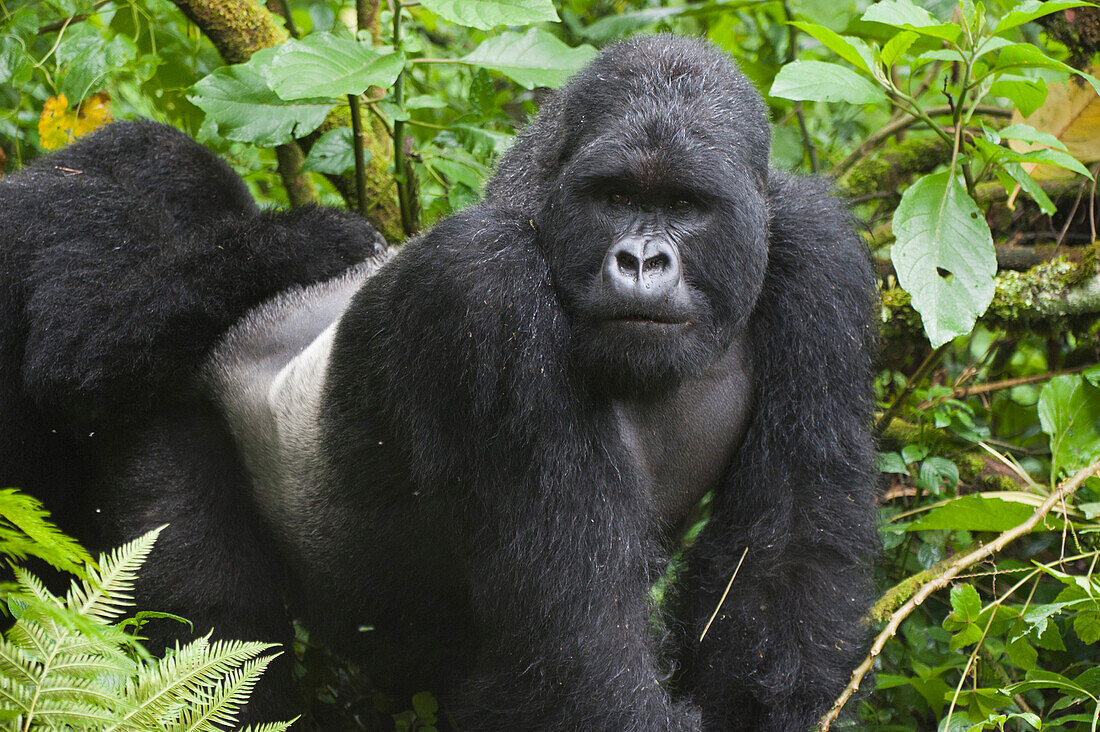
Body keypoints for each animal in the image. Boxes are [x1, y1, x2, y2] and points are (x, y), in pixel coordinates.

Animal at [0, 35, 875, 730]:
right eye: (617, 196)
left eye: (687, 205)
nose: (640, 261)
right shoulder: (480, 289)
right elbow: (577, 650)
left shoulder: (818, 251)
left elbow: (788, 563)